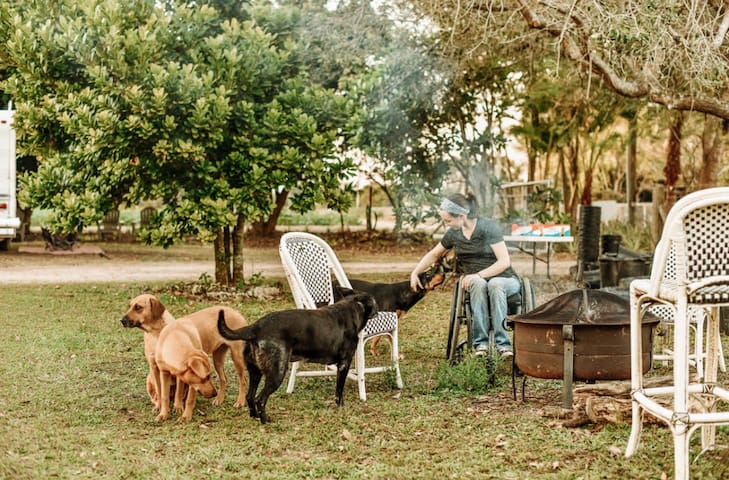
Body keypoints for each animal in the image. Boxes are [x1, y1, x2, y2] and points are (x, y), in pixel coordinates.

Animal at [215, 292, 376, 424]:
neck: (354, 306)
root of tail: (255, 327)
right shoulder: (344, 364)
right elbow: (339, 391)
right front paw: (341, 407)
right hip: (277, 372)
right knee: (260, 399)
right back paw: (265, 421)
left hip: (255, 372)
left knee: (250, 396)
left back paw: (254, 416)